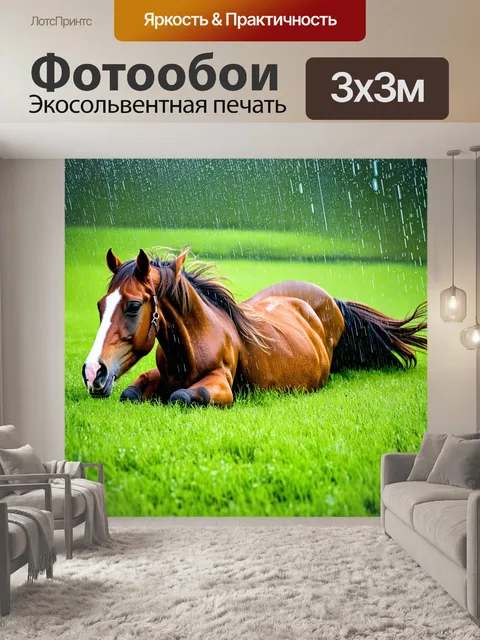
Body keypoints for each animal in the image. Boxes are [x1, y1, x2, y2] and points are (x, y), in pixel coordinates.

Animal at [82, 247, 427, 407]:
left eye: (133, 305)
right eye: (100, 305)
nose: (93, 372)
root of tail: (331, 299)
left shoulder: (220, 385)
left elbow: (182, 396)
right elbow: (130, 393)